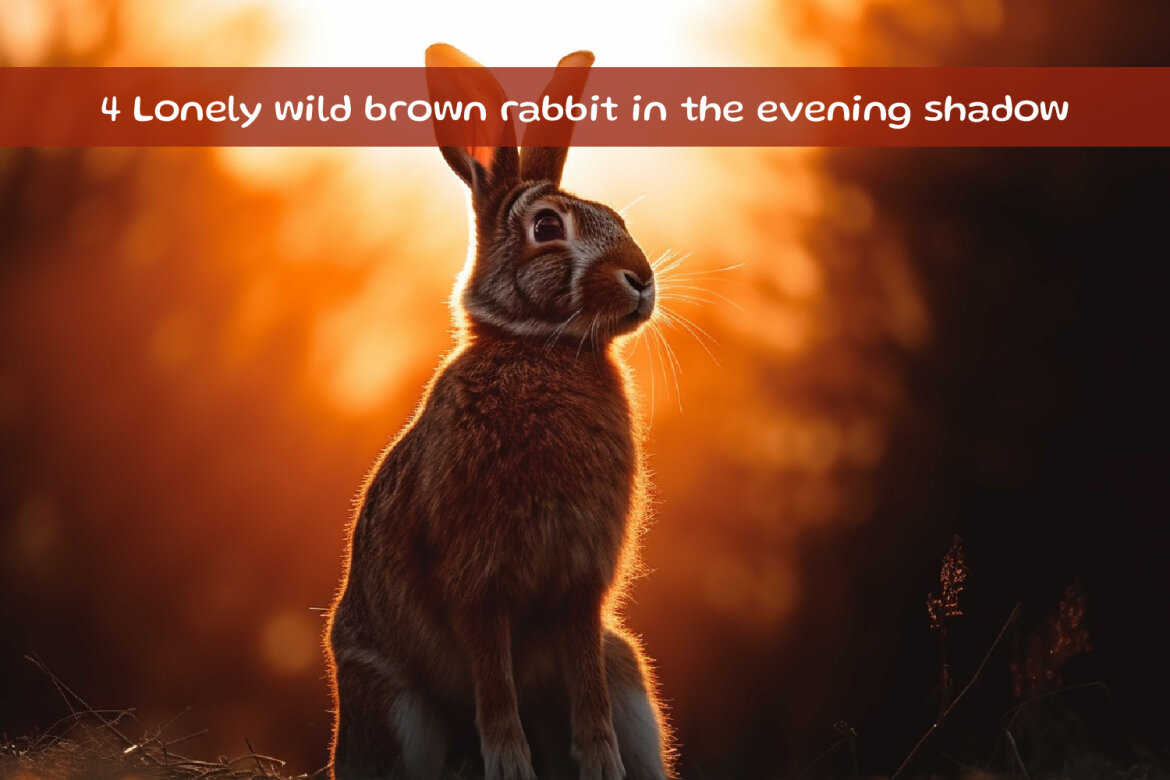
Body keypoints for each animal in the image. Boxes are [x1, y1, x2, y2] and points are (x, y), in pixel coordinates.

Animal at [324, 43, 674, 780]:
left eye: (618, 219)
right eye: (547, 227)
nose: (642, 279)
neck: (541, 348)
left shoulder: (581, 588)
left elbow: (586, 687)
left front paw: (601, 766)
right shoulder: (478, 583)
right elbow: (492, 680)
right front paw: (511, 765)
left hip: (627, 667)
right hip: (393, 705)